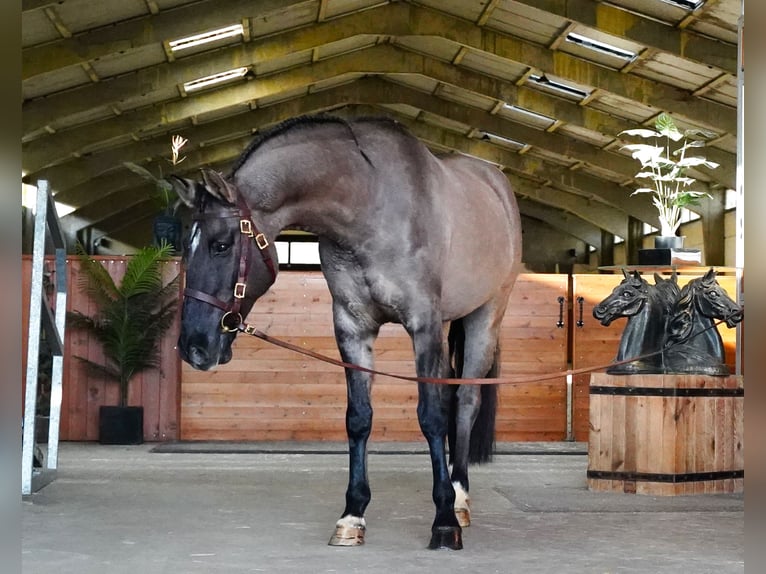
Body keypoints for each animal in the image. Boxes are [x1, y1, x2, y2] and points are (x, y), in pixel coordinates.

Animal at [172, 115, 524, 552]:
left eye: (221, 245)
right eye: (184, 247)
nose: (193, 347)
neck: (369, 206)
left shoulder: (423, 323)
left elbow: (431, 417)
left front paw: (443, 522)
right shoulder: (352, 327)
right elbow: (359, 418)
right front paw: (352, 515)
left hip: (486, 316)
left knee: (465, 402)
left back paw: (459, 499)